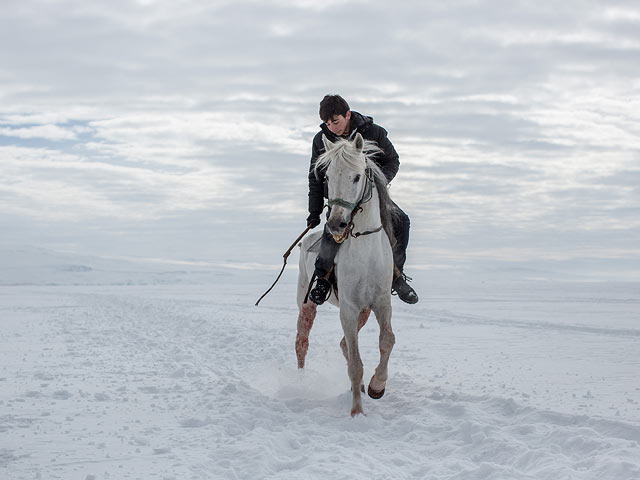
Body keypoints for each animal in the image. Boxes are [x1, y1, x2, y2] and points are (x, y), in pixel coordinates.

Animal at [296, 132, 396, 416]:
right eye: (327, 176)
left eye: (357, 176)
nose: (336, 224)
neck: (366, 250)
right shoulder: (348, 309)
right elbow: (355, 364)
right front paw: (357, 412)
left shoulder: (381, 303)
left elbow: (387, 340)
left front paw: (376, 386)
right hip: (306, 303)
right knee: (302, 342)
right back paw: (301, 380)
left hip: (364, 310)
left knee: (343, 344)